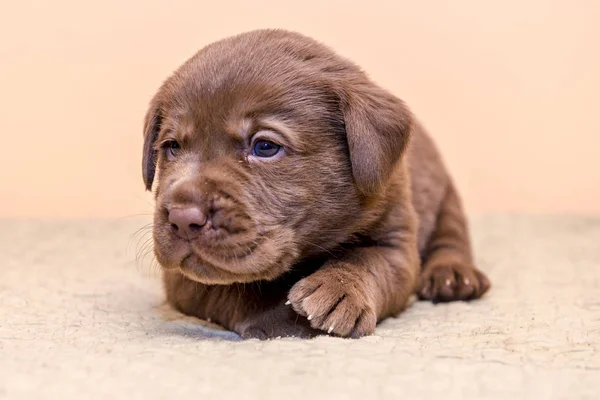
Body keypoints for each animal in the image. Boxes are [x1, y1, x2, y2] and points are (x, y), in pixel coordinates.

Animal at [143, 29, 490, 340]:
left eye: (264, 147)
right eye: (172, 146)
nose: (182, 218)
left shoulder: (396, 239)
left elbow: (369, 262)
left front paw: (340, 290)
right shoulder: (181, 280)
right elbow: (238, 287)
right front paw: (284, 318)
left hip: (445, 198)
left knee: (451, 237)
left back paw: (452, 275)